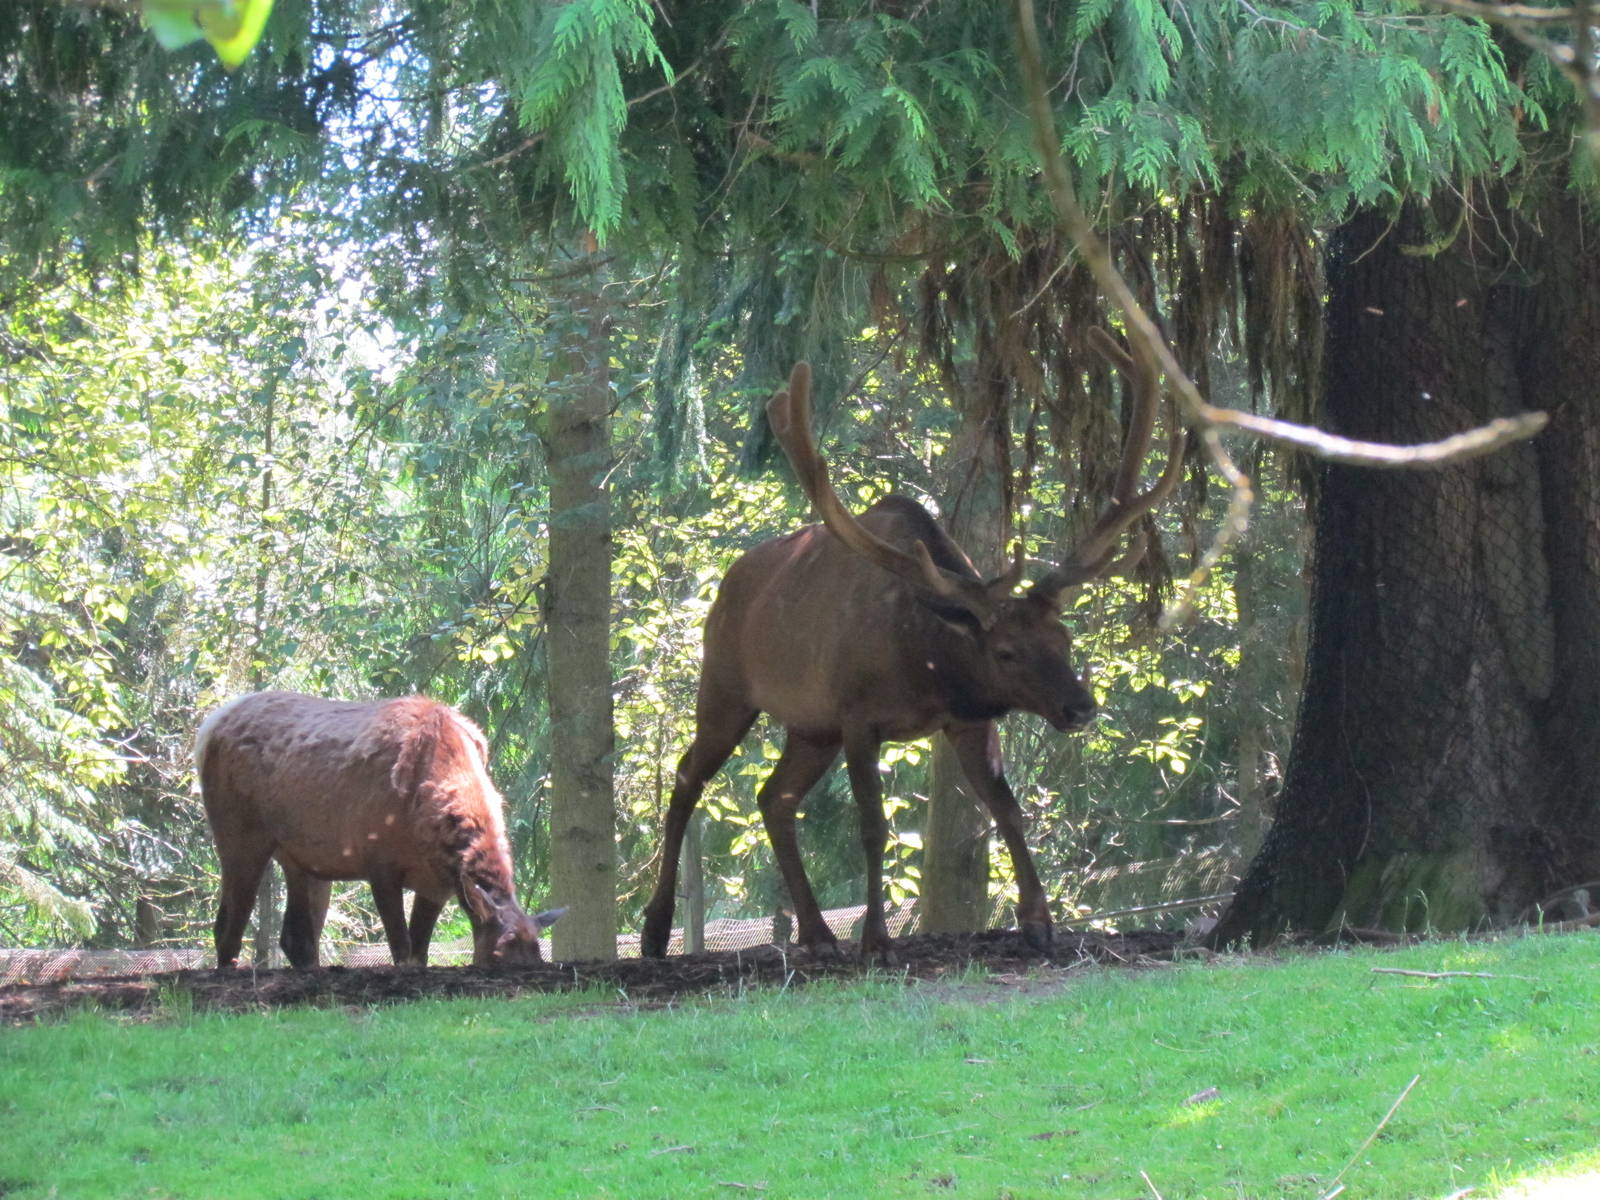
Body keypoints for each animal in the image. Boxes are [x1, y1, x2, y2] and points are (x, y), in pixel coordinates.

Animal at [195, 691, 564, 969]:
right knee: (227, 924)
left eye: (538, 957)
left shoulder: (437, 884)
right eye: (498, 953)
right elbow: (402, 948)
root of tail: (208, 727)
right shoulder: (379, 862)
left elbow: (420, 951)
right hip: (240, 836)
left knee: (296, 936)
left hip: (303, 860)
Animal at [640, 331, 1183, 960]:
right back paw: (657, 929)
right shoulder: (858, 715)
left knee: (773, 797)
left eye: (1064, 638)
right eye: (1006, 652)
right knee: (687, 778)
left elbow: (1007, 808)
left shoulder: (968, 719)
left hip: (810, 725)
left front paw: (1039, 921)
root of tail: (724, 588)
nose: (1080, 707)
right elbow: (873, 826)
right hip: (727, 687)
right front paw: (876, 937)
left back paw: (817, 931)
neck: (928, 667)